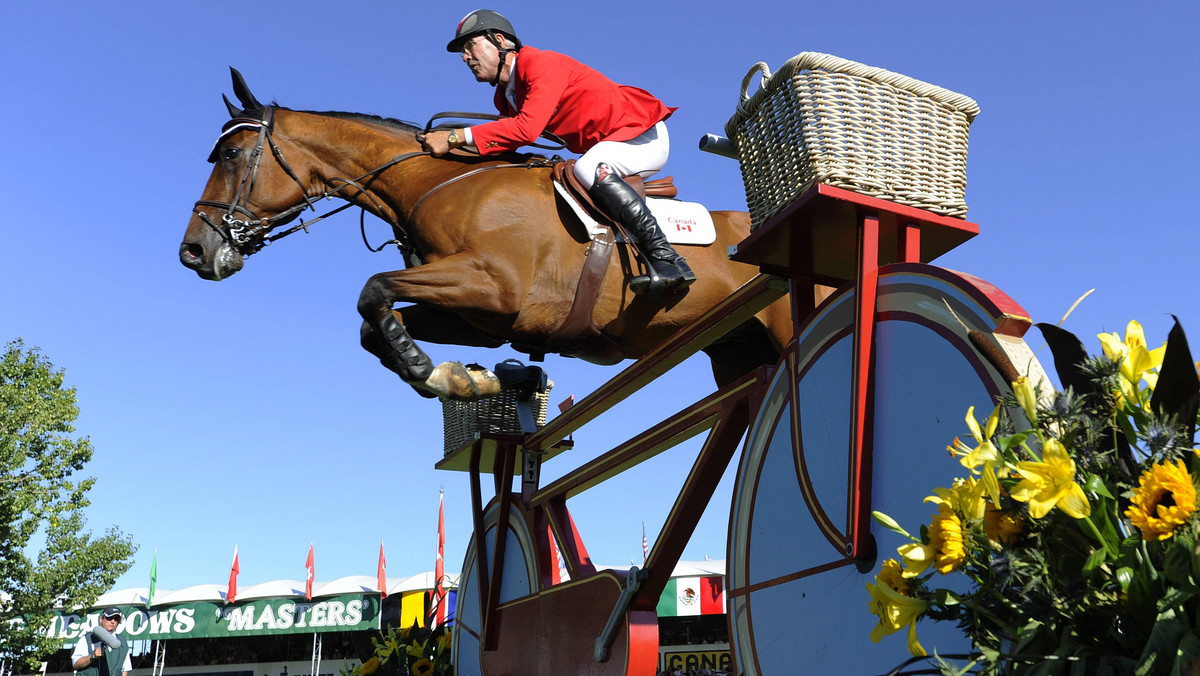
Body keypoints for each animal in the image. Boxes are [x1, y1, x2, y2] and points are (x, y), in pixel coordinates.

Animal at [177, 71, 792, 401]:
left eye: (229, 155)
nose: (193, 252)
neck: (433, 182)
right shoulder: (481, 320)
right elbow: (375, 326)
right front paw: (462, 380)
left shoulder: (496, 287)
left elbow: (373, 290)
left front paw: (431, 373)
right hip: (735, 349)